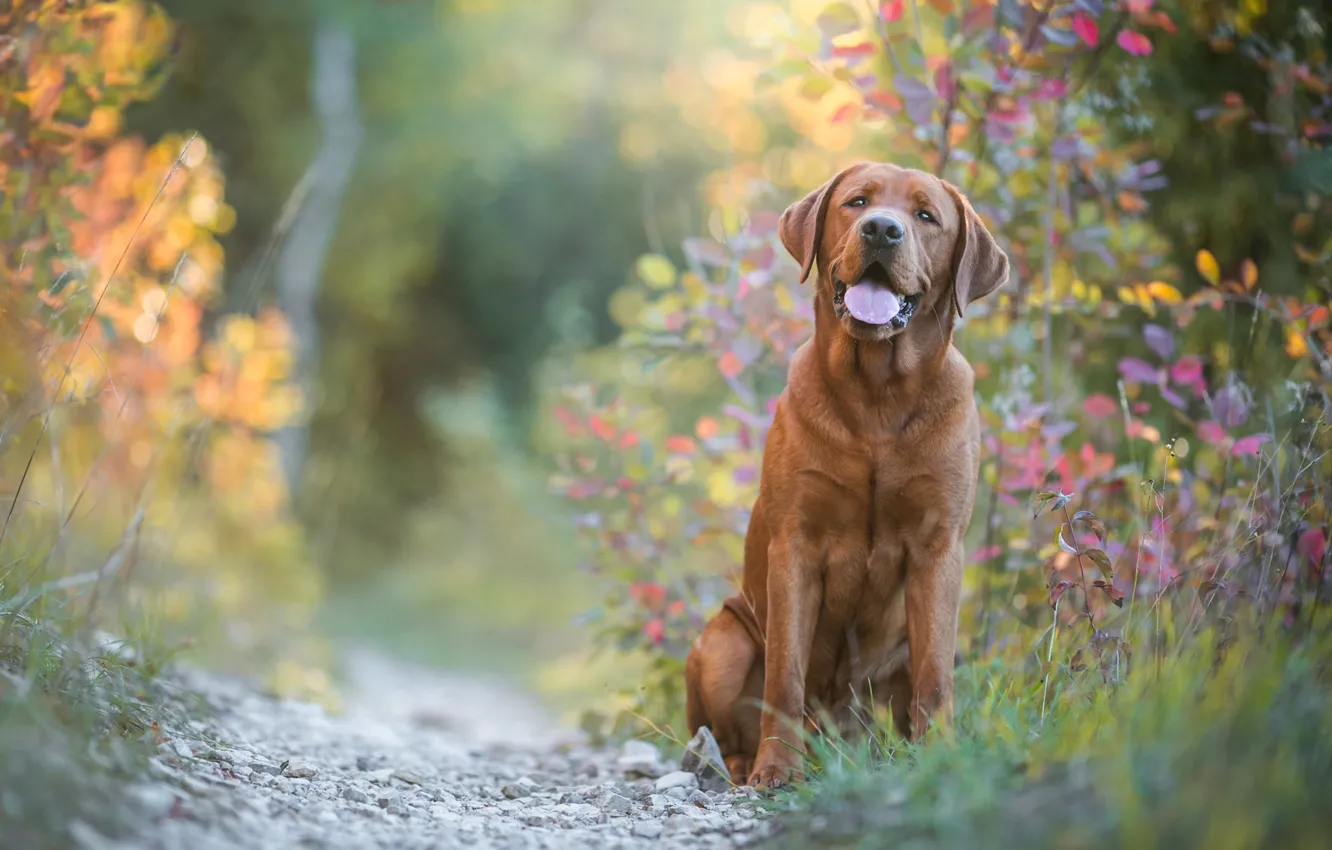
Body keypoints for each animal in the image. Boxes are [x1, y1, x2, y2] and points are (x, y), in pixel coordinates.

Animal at [687, 161, 1006, 794]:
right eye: (857, 202)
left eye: (925, 215)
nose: (882, 229)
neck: (877, 394)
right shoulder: (795, 545)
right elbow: (784, 675)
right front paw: (778, 768)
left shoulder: (938, 548)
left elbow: (936, 674)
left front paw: (940, 758)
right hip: (721, 641)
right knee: (730, 723)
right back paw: (740, 764)